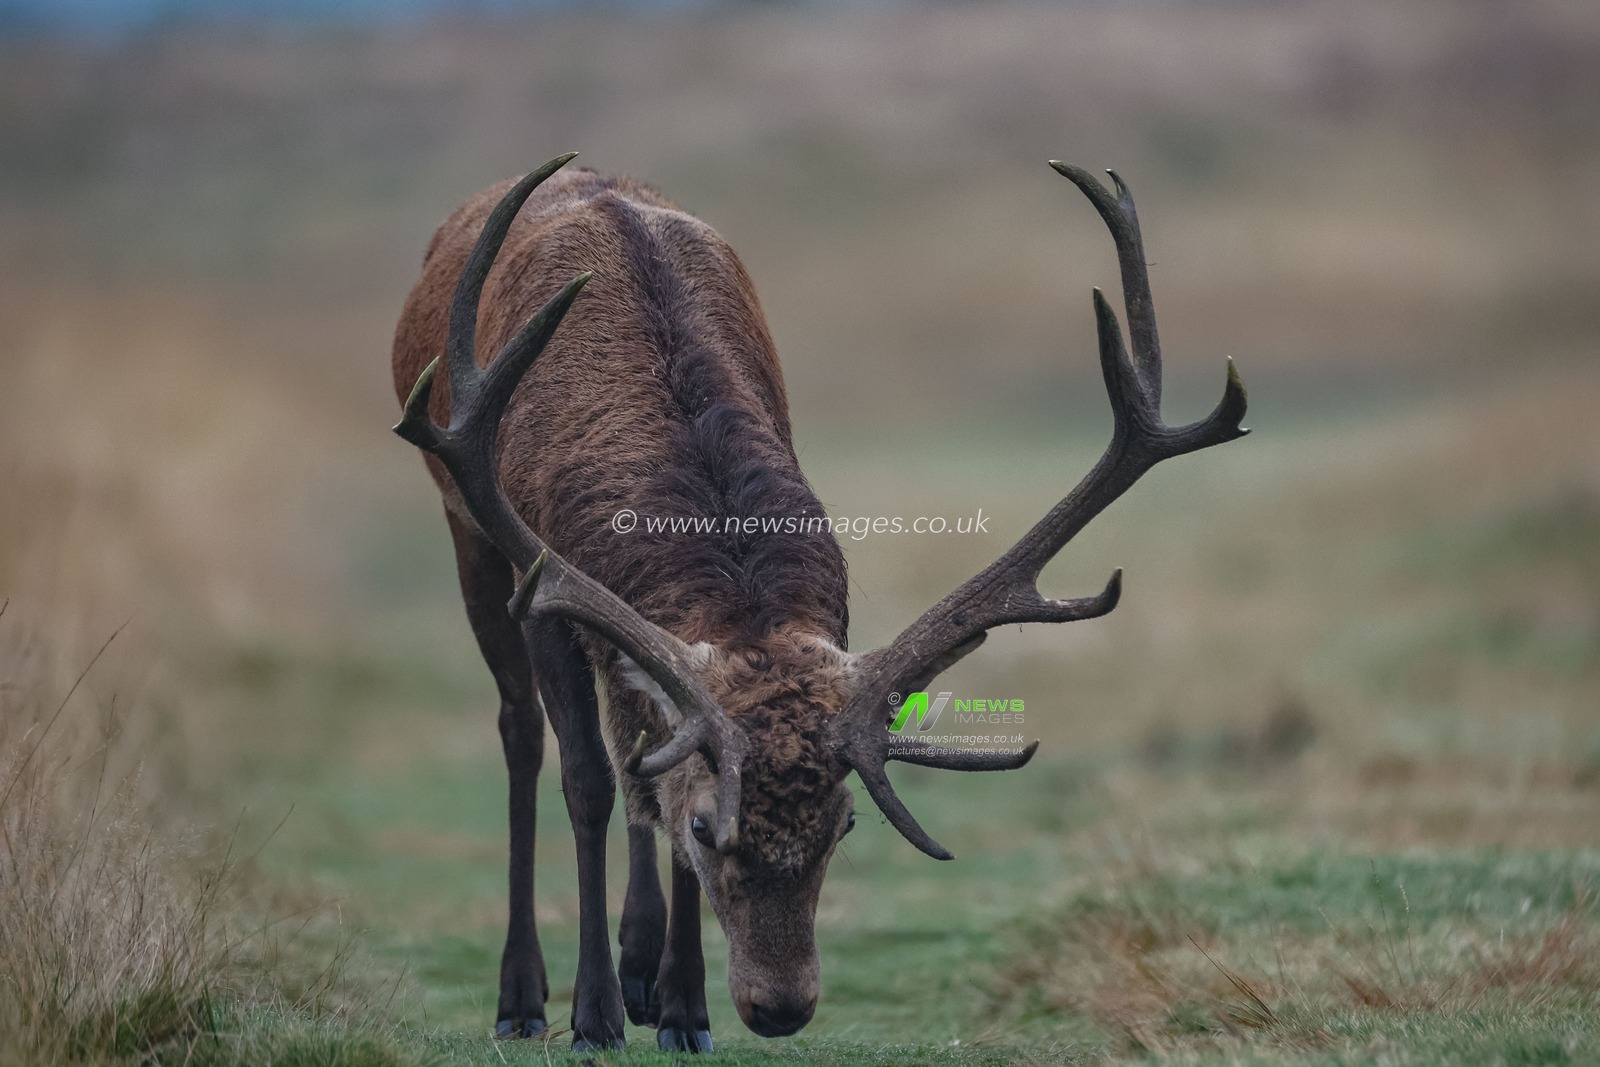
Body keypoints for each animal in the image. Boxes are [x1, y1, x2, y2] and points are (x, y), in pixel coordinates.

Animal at [390, 153, 1247, 1052]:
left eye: (843, 823)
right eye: (709, 828)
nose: (781, 1007)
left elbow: (653, 771)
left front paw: (683, 1009)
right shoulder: (545, 587)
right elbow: (587, 779)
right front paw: (594, 1018)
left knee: (637, 754)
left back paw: (641, 967)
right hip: (471, 535)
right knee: (525, 734)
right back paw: (524, 997)